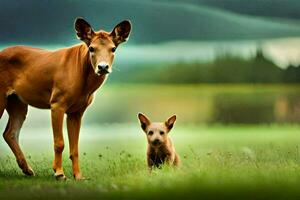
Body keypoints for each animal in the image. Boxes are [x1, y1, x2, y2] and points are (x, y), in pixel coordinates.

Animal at [0, 17, 131, 180]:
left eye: (113, 48)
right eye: (91, 48)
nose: (102, 67)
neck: (84, 84)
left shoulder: (77, 111)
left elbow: (75, 147)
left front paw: (78, 176)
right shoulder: (57, 102)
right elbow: (59, 143)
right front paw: (59, 173)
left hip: (17, 102)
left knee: (10, 133)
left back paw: (27, 169)